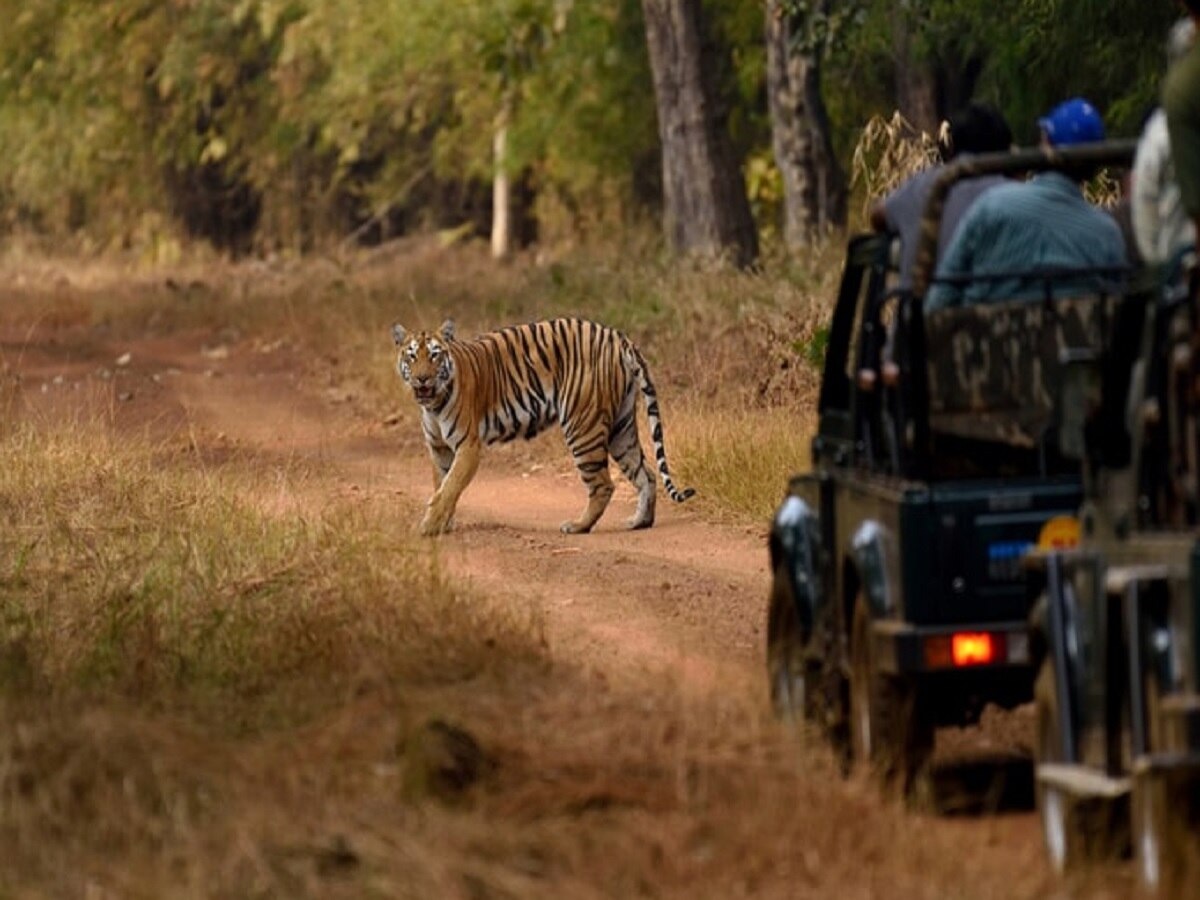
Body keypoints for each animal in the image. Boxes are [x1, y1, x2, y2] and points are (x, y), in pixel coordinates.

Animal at [393, 319, 696, 535]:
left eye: (434, 355)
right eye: (411, 357)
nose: (422, 379)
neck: (433, 404)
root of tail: (616, 335)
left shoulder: (468, 446)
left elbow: (449, 486)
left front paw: (428, 527)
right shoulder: (439, 448)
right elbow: (442, 485)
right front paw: (443, 524)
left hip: (582, 425)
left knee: (603, 484)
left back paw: (577, 526)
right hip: (622, 429)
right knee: (646, 474)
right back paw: (639, 522)